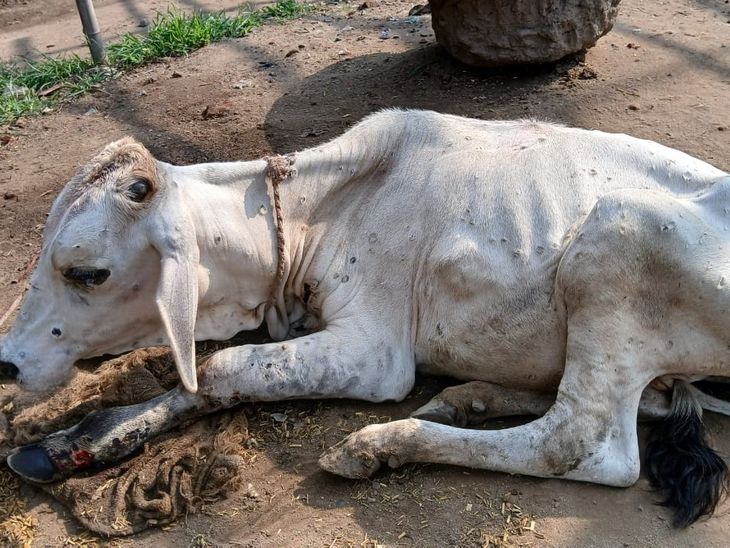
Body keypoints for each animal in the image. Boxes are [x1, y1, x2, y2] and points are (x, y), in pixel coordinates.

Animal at [1, 110, 729, 527]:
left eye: (86, 271)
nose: (6, 360)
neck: (319, 210)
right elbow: (194, 378)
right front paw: (71, 441)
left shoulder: (374, 352)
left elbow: (221, 368)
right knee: (648, 402)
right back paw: (470, 397)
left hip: (618, 236)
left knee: (582, 442)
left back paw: (383, 443)